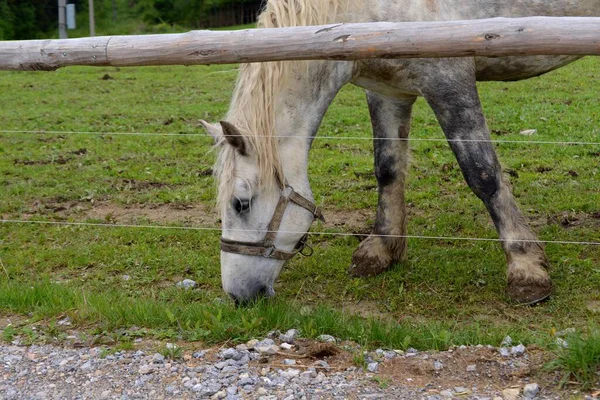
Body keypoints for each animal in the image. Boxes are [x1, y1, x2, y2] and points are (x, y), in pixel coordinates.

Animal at [203, 0, 600, 304]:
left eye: (241, 204)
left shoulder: (449, 78)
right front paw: (379, 251)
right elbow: (387, 169)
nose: (238, 295)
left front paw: (526, 270)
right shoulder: (388, 91)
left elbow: (483, 173)